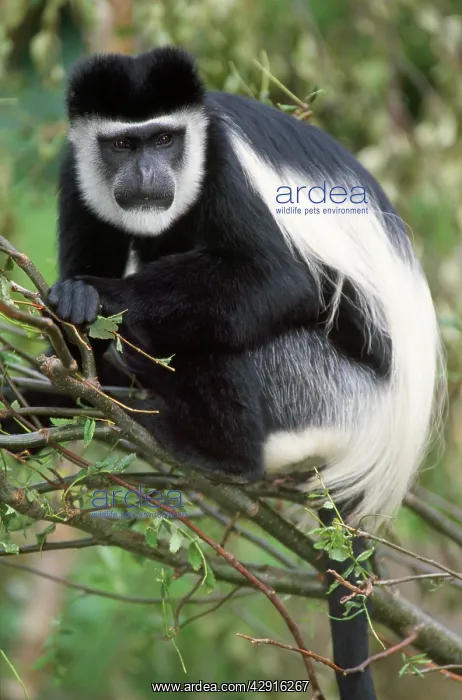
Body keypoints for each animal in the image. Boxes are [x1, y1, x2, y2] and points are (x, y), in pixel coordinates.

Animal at [4, 47, 444, 699]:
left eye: (164, 139)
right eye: (122, 145)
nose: (147, 175)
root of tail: (384, 438)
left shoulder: (226, 172)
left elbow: (276, 278)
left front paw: (93, 296)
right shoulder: (76, 172)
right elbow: (83, 330)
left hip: (327, 391)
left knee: (228, 325)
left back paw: (205, 440)